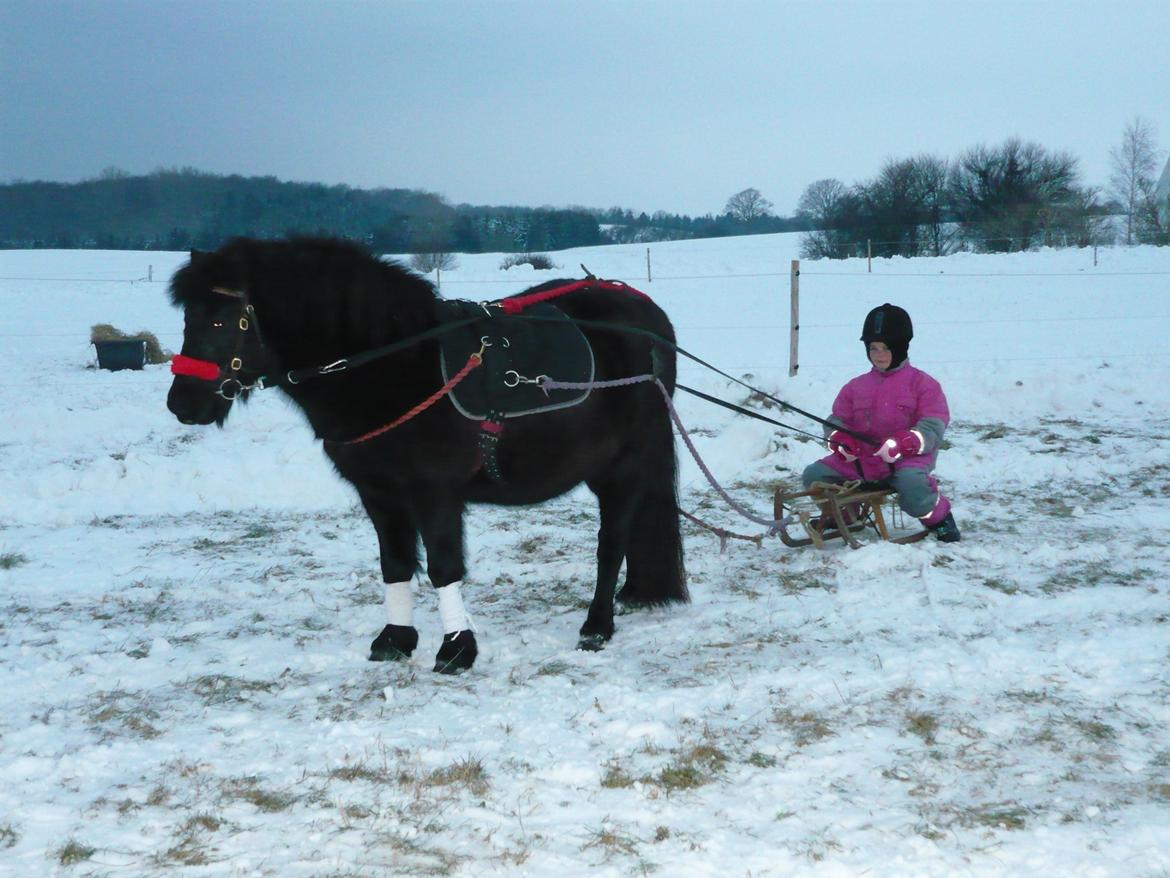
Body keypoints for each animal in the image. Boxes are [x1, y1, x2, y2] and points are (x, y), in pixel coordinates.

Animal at [169, 237, 687, 678]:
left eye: (221, 320)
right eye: (188, 318)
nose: (182, 404)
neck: (394, 366)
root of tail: (648, 317)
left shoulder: (434, 492)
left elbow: (443, 566)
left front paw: (457, 648)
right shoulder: (380, 495)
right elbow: (396, 565)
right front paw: (395, 639)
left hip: (622, 465)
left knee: (611, 541)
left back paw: (597, 625)